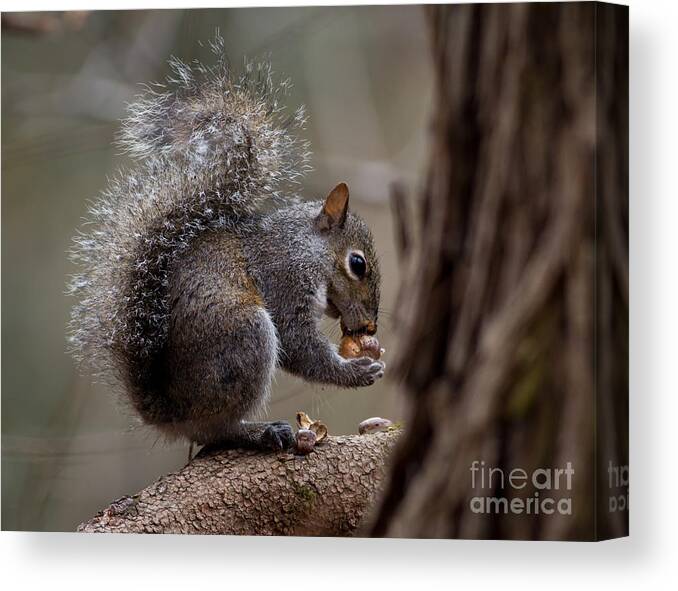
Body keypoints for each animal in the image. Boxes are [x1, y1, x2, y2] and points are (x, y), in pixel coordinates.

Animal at [69, 39, 388, 450]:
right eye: (357, 264)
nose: (369, 327)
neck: (305, 247)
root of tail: (172, 414)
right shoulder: (284, 278)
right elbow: (298, 343)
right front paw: (357, 371)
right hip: (243, 337)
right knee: (216, 430)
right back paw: (258, 431)